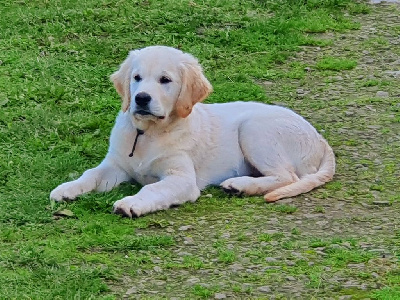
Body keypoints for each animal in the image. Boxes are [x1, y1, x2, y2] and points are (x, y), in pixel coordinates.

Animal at [50, 45, 338, 217]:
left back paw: (239, 185)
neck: (148, 133)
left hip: (255, 129)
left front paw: (131, 203)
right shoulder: (116, 165)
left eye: (165, 80)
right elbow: (91, 174)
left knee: (288, 176)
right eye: (136, 78)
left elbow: (152, 190)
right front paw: (67, 188)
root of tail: (320, 138)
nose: (141, 99)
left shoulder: (181, 178)